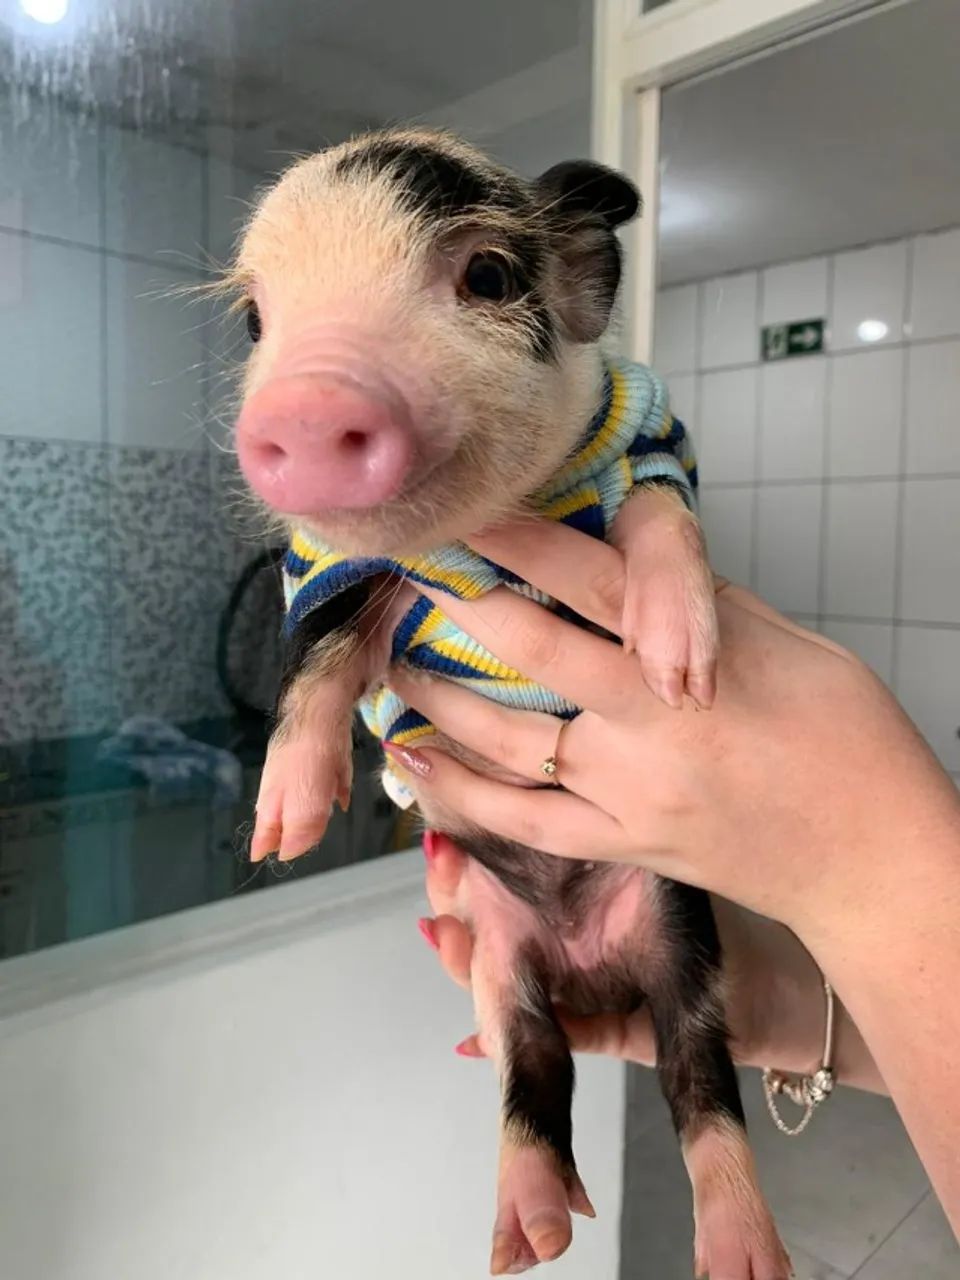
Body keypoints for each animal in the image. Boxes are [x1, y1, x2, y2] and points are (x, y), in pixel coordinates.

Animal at [226, 127, 790, 1278]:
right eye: (257, 318)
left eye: (486, 275)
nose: (303, 407)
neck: (491, 528)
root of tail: (588, 966)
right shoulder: (334, 570)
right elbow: (321, 653)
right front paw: (284, 834)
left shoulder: (647, 441)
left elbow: (663, 519)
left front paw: (678, 674)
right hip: (495, 943)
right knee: (534, 1063)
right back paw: (529, 1236)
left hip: (678, 928)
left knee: (698, 1076)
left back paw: (743, 1255)